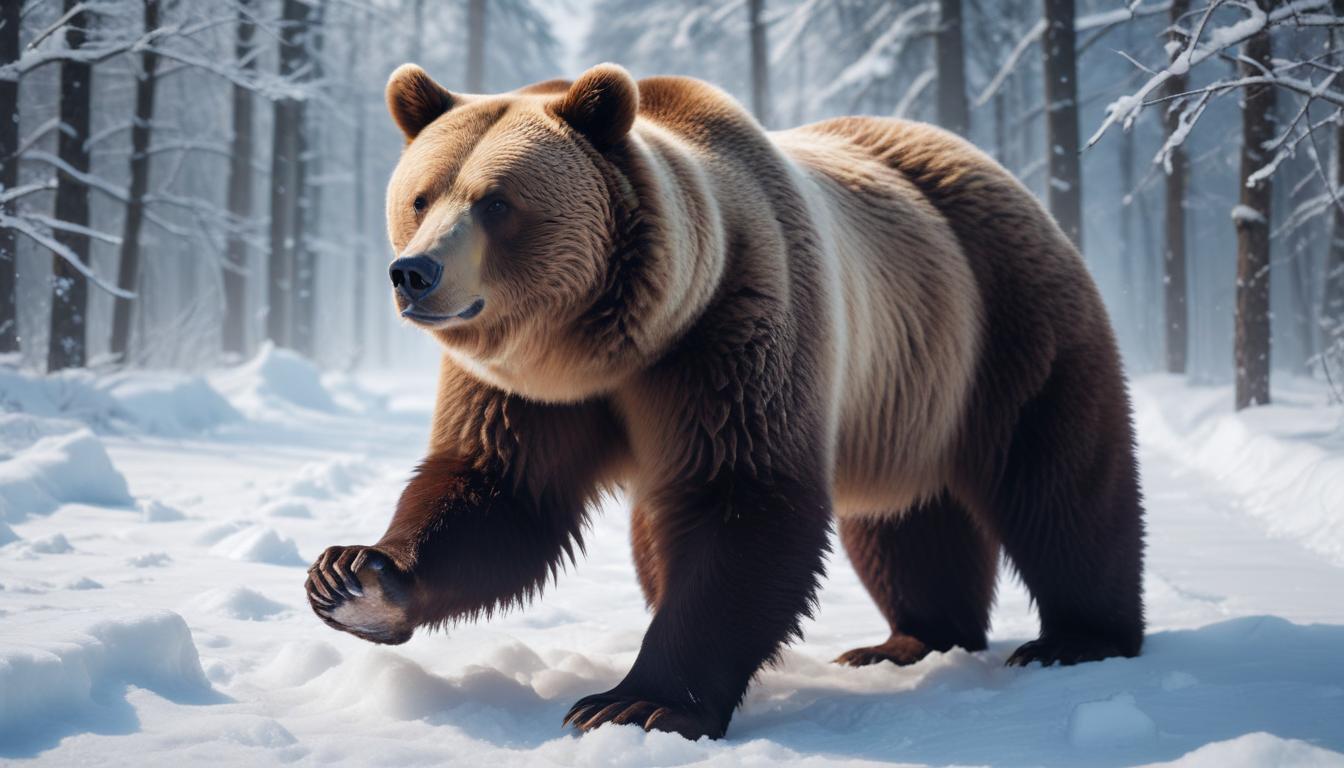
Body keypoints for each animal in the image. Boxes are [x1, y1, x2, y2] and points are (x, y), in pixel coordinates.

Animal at [305, 62, 1145, 740]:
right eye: (421, 196)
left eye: (495, 203)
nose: (413, 273)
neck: (609, 344)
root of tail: (991, 165)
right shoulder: (525, 390)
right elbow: (499, 488)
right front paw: (355, 577)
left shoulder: (732, 331)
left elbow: (741, 500)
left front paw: (637, 701)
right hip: (905, 393)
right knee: (904, 516)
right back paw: (910, 639)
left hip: (1004, 320)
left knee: (1057, 476)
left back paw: (1078, 638)